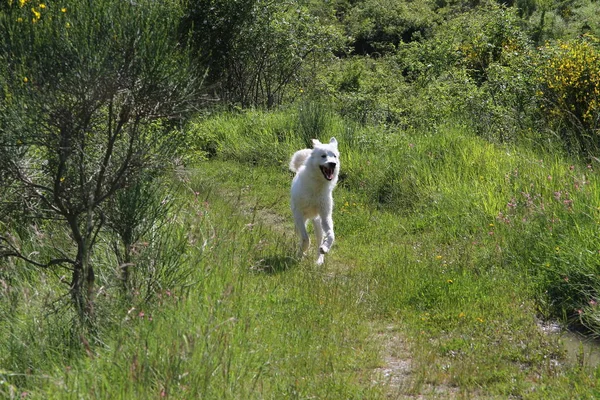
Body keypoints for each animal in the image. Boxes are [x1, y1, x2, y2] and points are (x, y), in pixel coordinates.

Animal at [290, 138, 340, 266]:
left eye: (334, 156)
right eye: (323, 156)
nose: (333, 164)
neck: (317, 187)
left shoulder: (325, 216)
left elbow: (331, 235)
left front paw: (325, 248)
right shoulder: (299, 215)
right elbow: (305, 238)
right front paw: (301, 253)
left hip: (318, 223)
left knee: (320, 240)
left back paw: (319, 261)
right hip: (301, 220)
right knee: (299, 234)